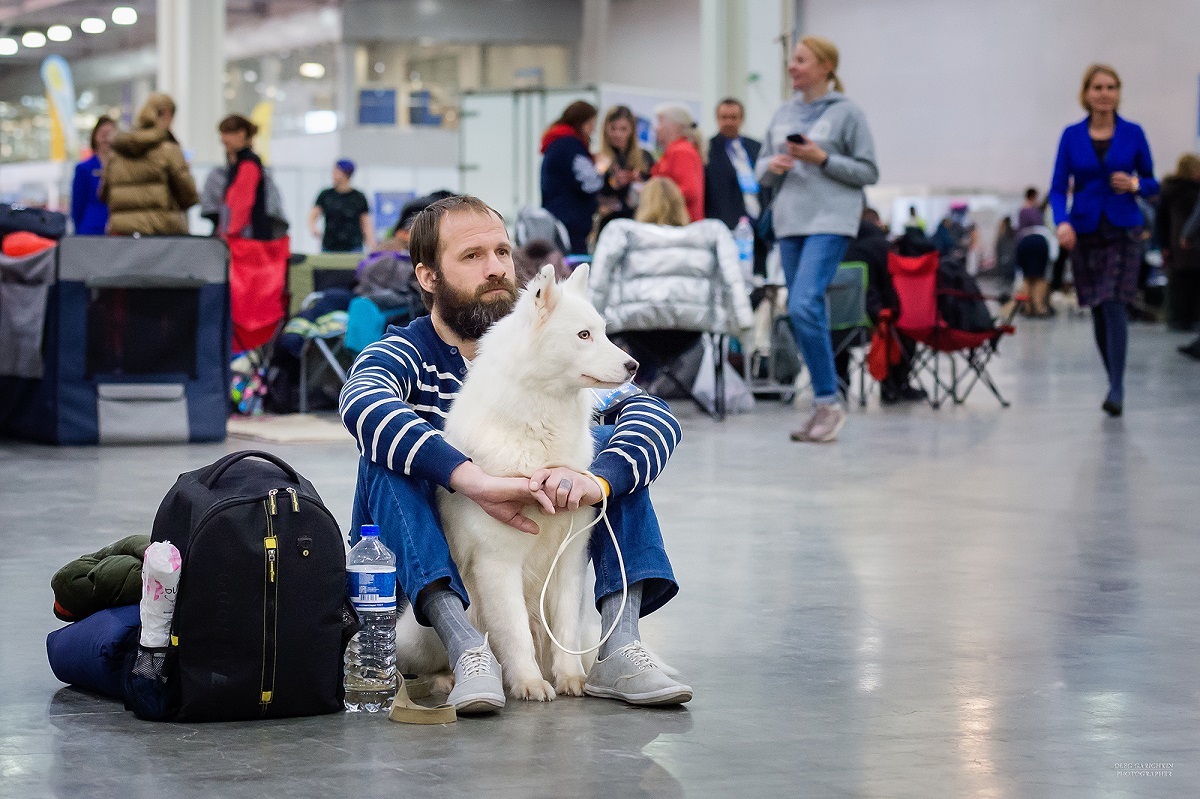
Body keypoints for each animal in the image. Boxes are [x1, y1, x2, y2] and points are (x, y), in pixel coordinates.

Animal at [393, 262, 638, 695]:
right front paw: (529, 682)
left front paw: (569, 679)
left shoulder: (570, 559)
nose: (634, 366)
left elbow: (564, 628)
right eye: (584, 335)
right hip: (421, 637)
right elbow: (515, 630)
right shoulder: (498, 561)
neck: (538, 427)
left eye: (604, 331)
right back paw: (451, 680)